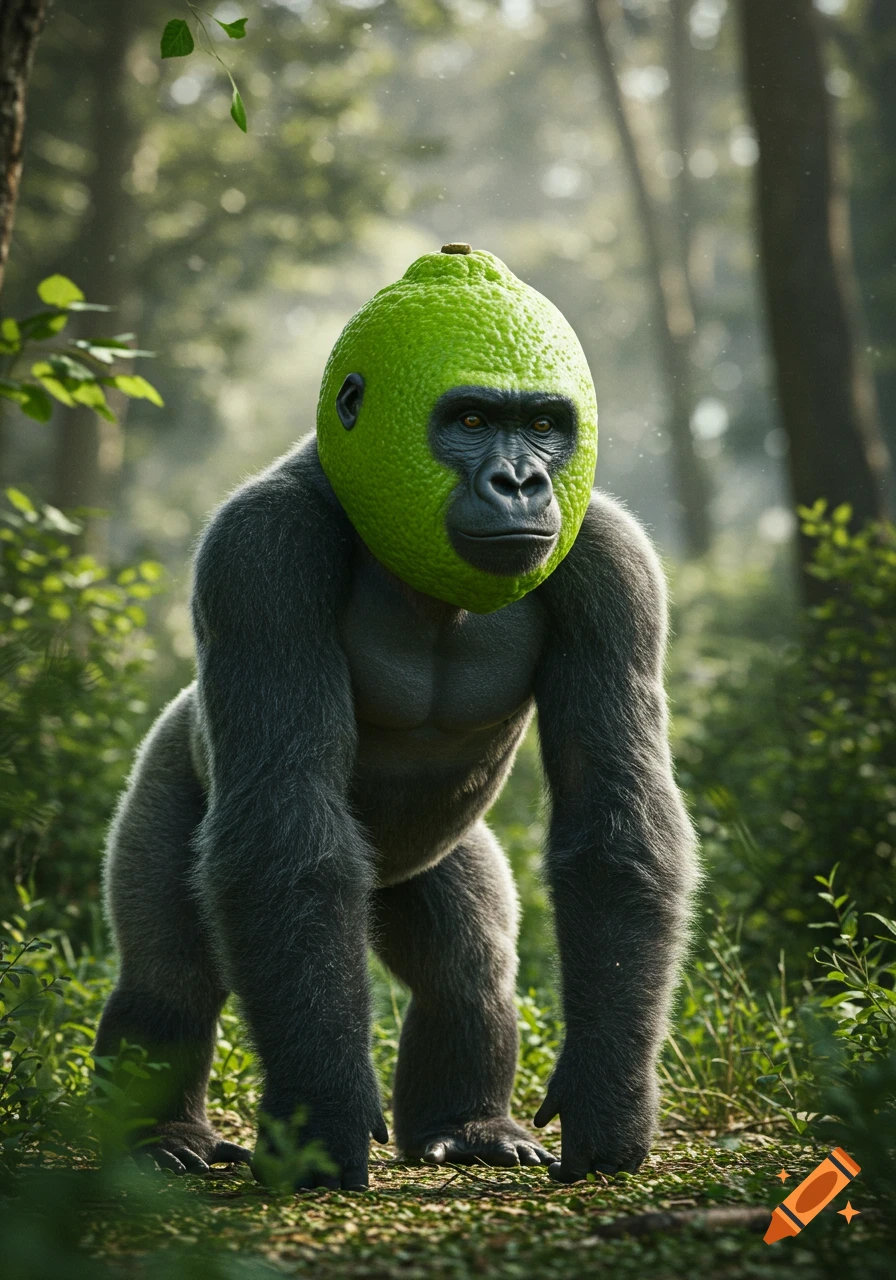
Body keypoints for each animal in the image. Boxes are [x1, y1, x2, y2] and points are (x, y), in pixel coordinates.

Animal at [94, 247, 698, 1189]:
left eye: (545, 425)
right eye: (472, 419)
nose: (521, 481)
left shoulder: (613, 562)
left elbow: (614, 819)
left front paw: (610, 1093)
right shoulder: (258, 552)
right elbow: (287, 831)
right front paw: (324, 1116)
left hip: (429, 863)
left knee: (467, 969)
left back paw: (468, 1121)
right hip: (162, 772)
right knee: (169, 974)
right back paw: (160, 1136)